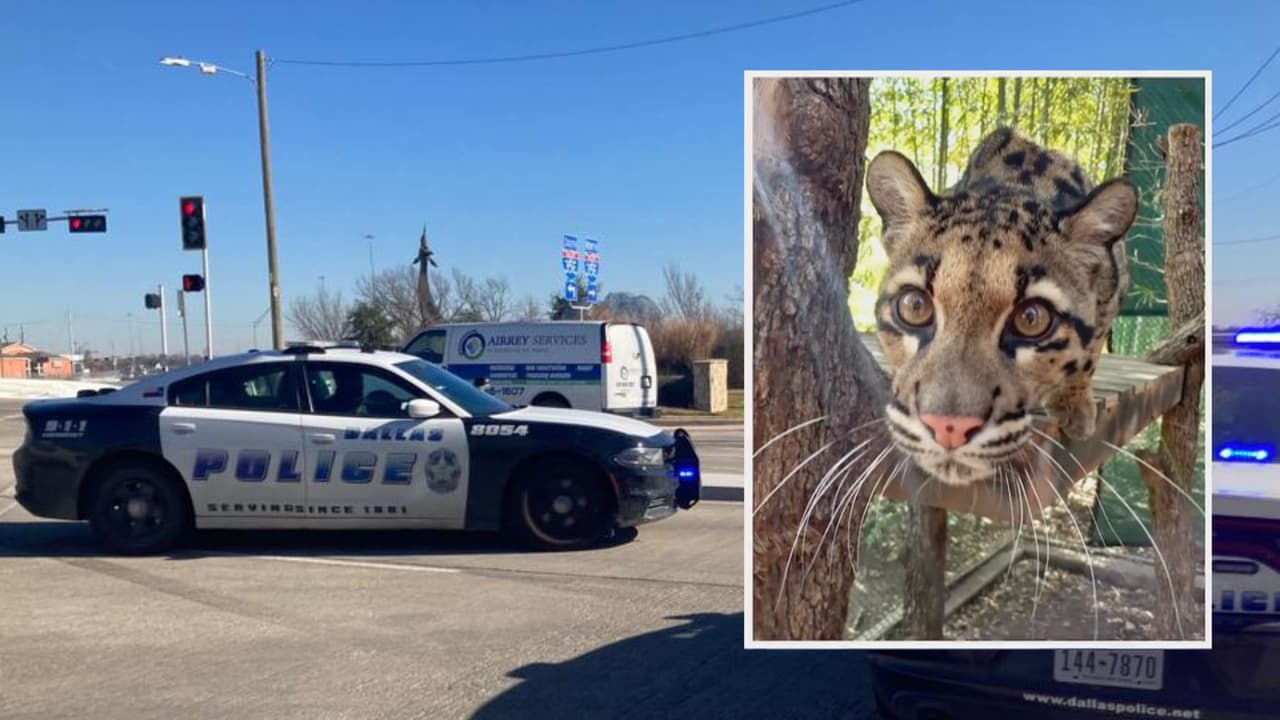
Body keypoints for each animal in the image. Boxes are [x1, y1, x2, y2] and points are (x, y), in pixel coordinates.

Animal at [865, 126, 1137, 487]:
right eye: (914, 306)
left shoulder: (1115, 283)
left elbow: (1091, 349)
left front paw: (1075, 402)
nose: (948, 427)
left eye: (1032, 318)